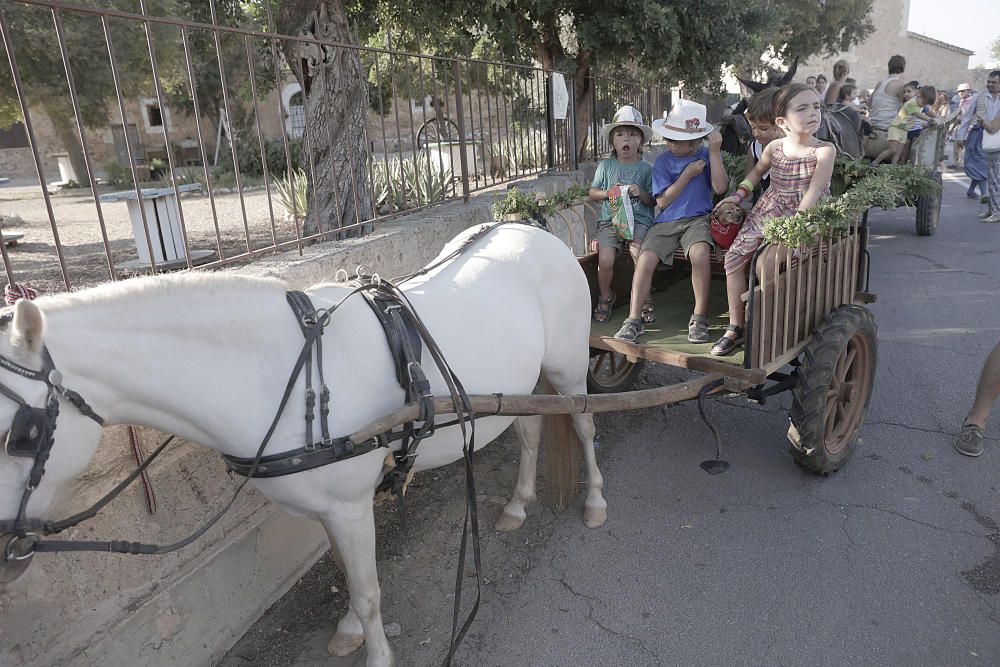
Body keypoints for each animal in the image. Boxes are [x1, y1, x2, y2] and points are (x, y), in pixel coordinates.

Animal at [0, 224, 600, 667]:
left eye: (21, 433)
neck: (275, 373)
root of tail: (532, 228)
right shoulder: (332, 509)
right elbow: (346, 572)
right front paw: (351, 628)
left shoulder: (351, 505)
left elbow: (369, 589)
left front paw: (376, 652)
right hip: (514, 389)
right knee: (530, 432)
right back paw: (518, 505)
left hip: (568, 369)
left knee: (585, 427)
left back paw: (595, 500)